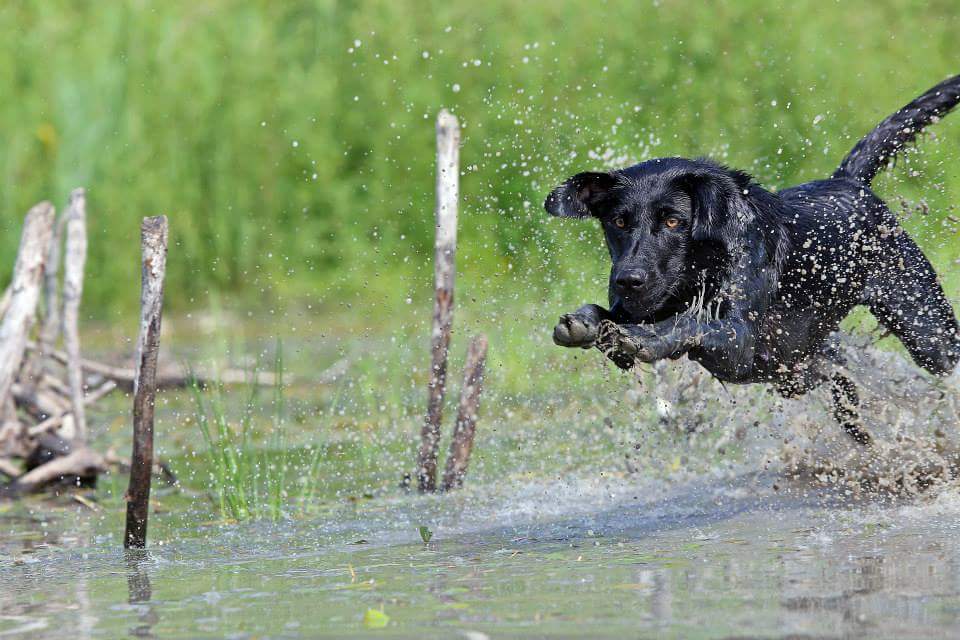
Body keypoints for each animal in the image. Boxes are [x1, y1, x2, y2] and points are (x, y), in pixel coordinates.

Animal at [544, 75, 960, 442]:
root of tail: (849, 183)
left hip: (928, 331)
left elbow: (689, 322)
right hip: (798, 367)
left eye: (673, 221)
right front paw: (585, 323)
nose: (628, 281)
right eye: (618, 222)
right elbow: (607, 316)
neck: (702, 268)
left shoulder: (739, 341)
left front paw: (646, 337)